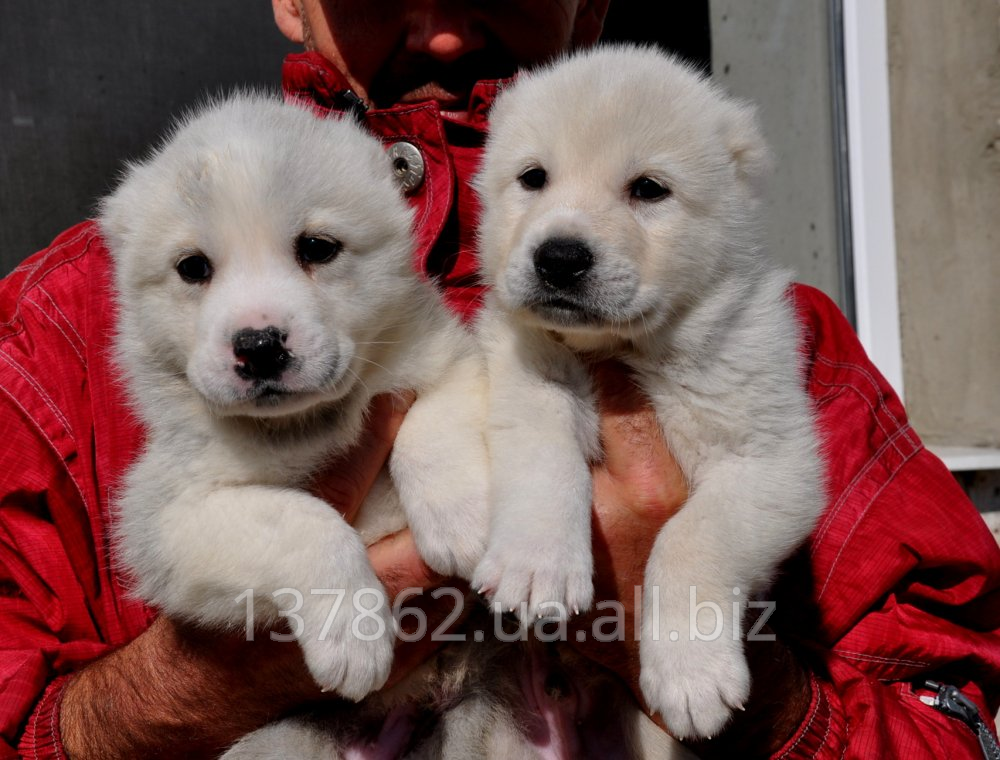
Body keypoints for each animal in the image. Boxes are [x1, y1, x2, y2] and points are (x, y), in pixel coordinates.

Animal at [472, 44, 824, 740]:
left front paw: (692, 675)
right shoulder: (525, 362)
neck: (625, 349)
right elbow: (543, 448)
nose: (559, 258)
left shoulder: (769, 459)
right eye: (533, 177)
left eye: (649, 189)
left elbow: (692, 537)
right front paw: (536, 565)